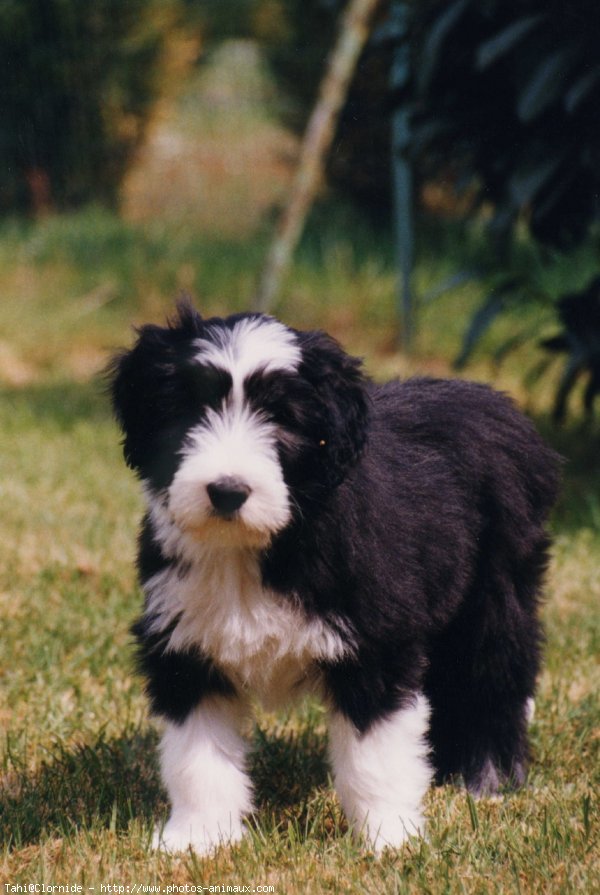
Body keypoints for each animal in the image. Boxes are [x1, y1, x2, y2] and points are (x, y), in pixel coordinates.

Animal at [109, 300, 564, 856]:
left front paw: (390, 837)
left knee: (497, 674)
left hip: (497, 590)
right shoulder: (186, 645)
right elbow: (197, 755)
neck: (257, 547)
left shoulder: (378, 642)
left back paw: (489, 776)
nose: (227, 491)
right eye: (190, 409)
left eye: (282, 417)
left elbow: (374, 756)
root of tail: (492, 399)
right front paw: (198, 838)